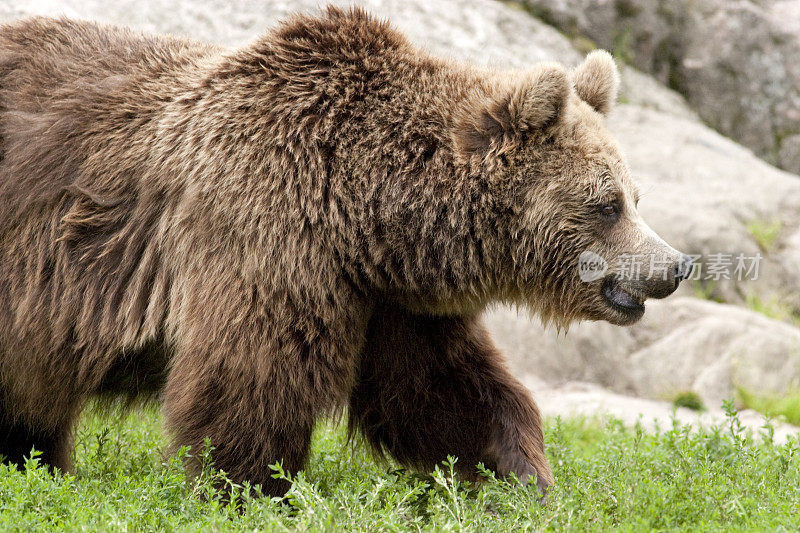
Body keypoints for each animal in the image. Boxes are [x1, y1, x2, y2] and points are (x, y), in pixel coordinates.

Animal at [0, 6, 688, 494]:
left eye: (635, 195)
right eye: (608, 204)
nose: (674, 266)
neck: (367, 208)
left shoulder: (390, 296)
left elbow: (441, 388)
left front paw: (523, 478)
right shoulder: (268, 230)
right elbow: (252, 379)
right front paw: (245, 489)